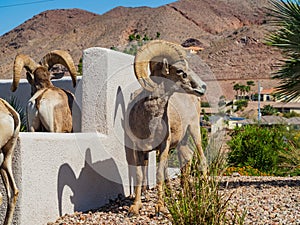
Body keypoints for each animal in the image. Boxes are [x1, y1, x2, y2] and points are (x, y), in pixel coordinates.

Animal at [125, 40, 207, 216]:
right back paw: (184, 194)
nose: (203, 87)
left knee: (202, 160)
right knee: (187, 159)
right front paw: (135, 207)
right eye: (180, 71)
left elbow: (159, 174)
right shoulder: (138, 149)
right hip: (182, 142)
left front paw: (160, 208)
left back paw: (204, 192)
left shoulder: (163, 146)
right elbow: (140, 175)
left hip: (195, 130)